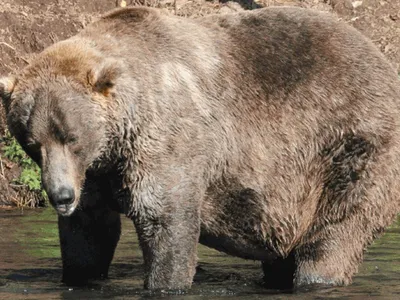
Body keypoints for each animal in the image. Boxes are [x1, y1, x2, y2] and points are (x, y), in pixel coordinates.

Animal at [0, 4, 400, 290]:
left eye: (72, 137)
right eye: (33, 143)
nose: (61, 196)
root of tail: (383, 62)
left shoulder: (166, 140)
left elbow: (166, 220)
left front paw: (165, 282)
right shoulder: (98, 172)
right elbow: (89, 232)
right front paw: (79, 273)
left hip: (349, 147)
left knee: (335, 233)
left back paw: (316, 276)